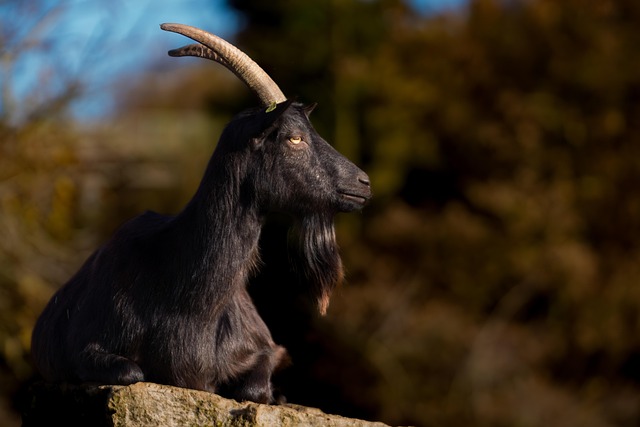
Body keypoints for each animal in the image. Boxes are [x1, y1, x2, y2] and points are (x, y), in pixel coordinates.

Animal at [31, 23, 371, 404]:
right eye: (294, 138)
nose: (363, 182)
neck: (188, 302)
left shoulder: (266, 348)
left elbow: (255, 386)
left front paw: (271, 393)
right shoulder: (84, 348)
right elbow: (132, 371)